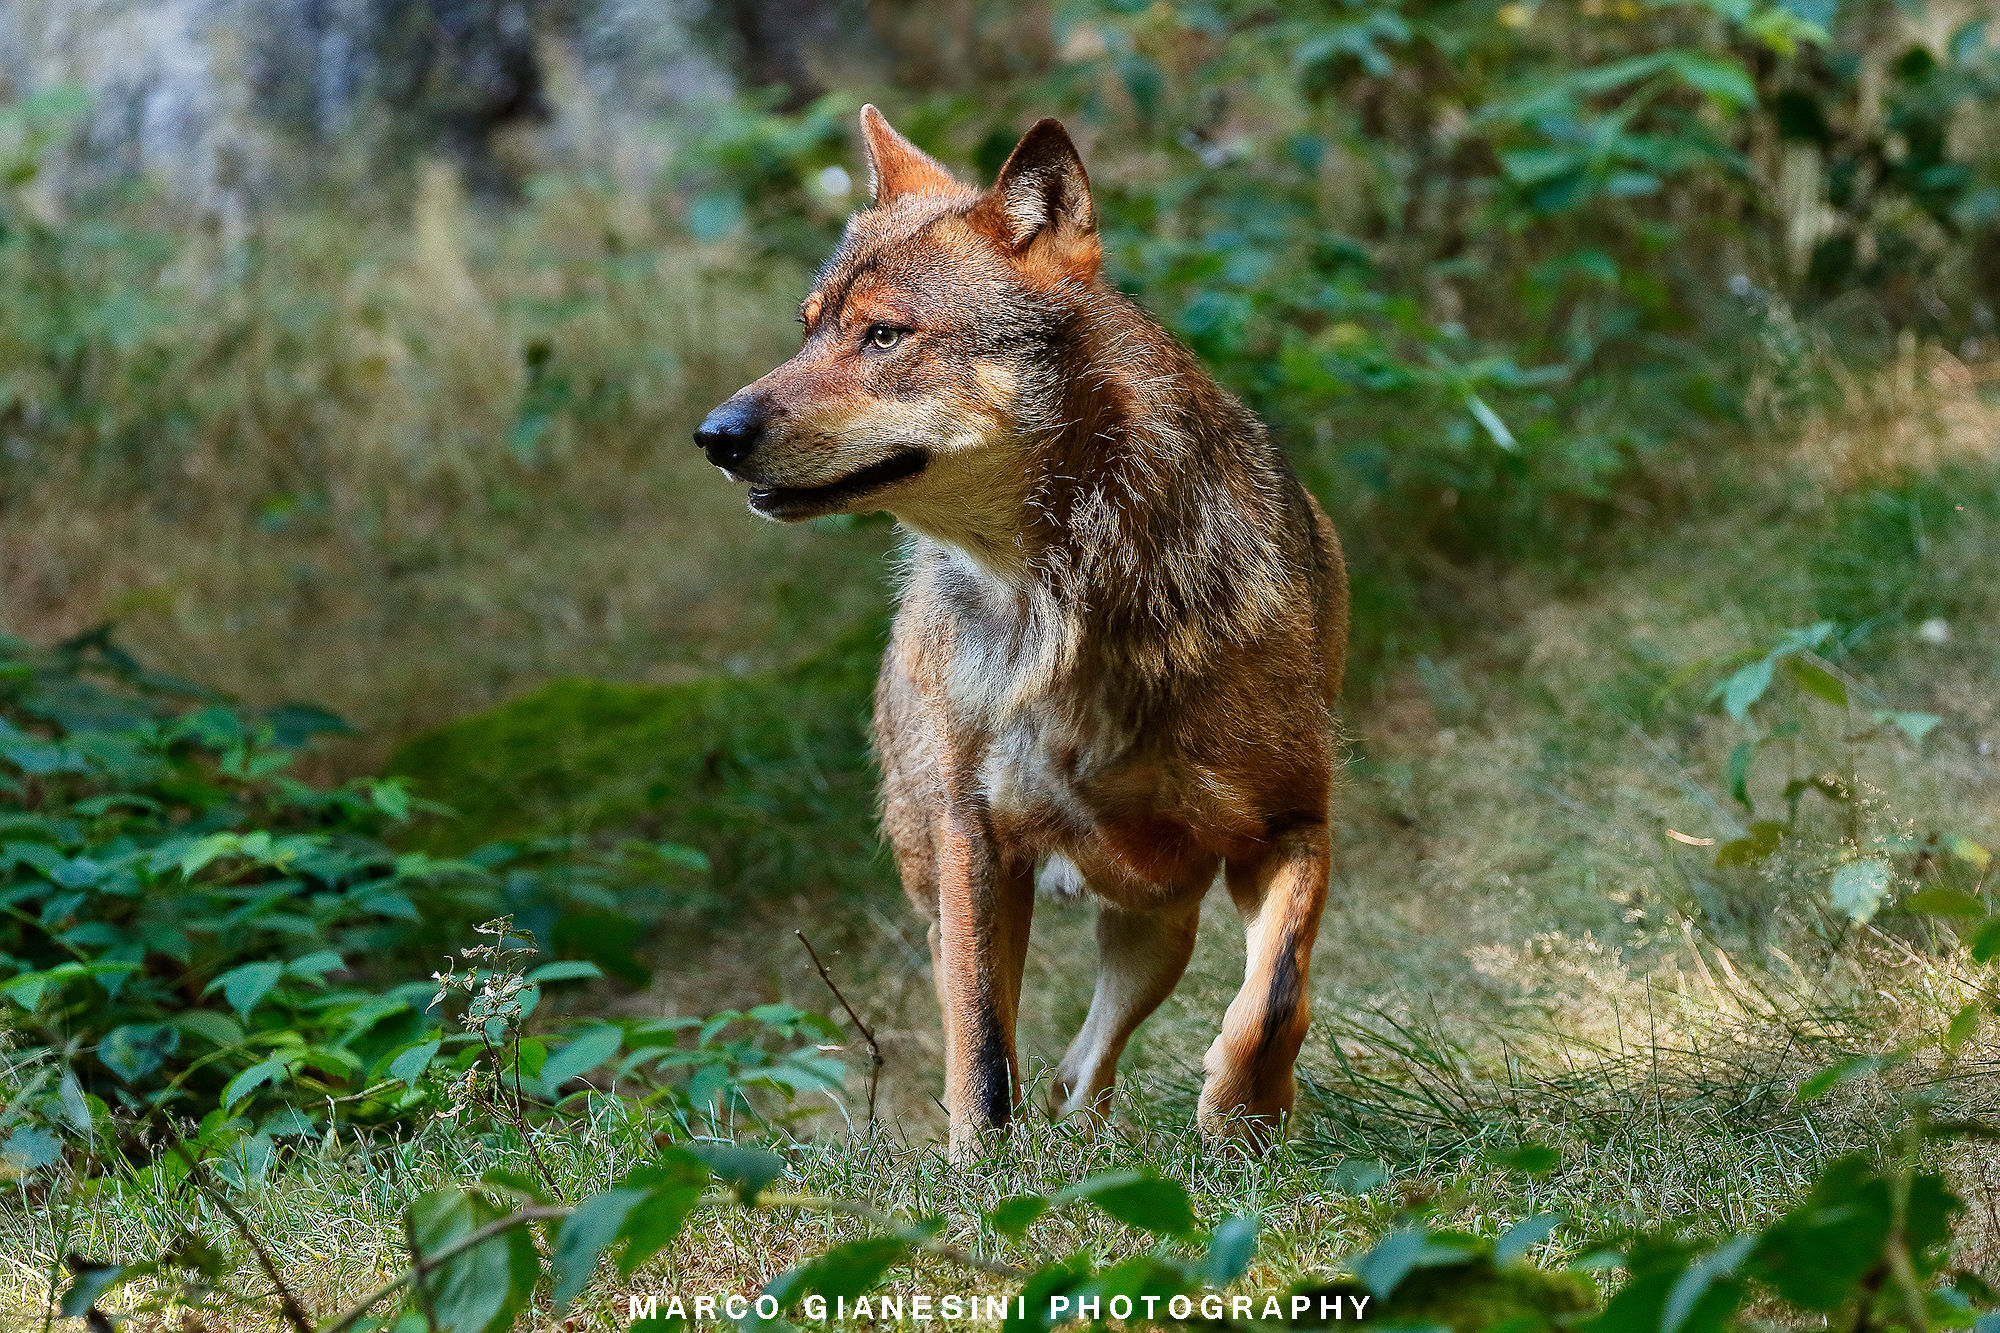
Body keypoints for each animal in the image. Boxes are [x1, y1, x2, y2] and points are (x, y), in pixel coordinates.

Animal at [695, 107, 1347, 1154]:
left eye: (883, 334)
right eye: (808, 329)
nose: (713, 435)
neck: (1062, 602)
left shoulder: (1290, 824)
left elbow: (1277, 995)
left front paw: (1243, 1118)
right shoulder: (976, 843)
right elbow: (982, 1053)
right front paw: (982, 1177)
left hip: (1160, 918)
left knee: (1089, 1061)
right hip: (972, 878)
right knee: (1042, 1050)